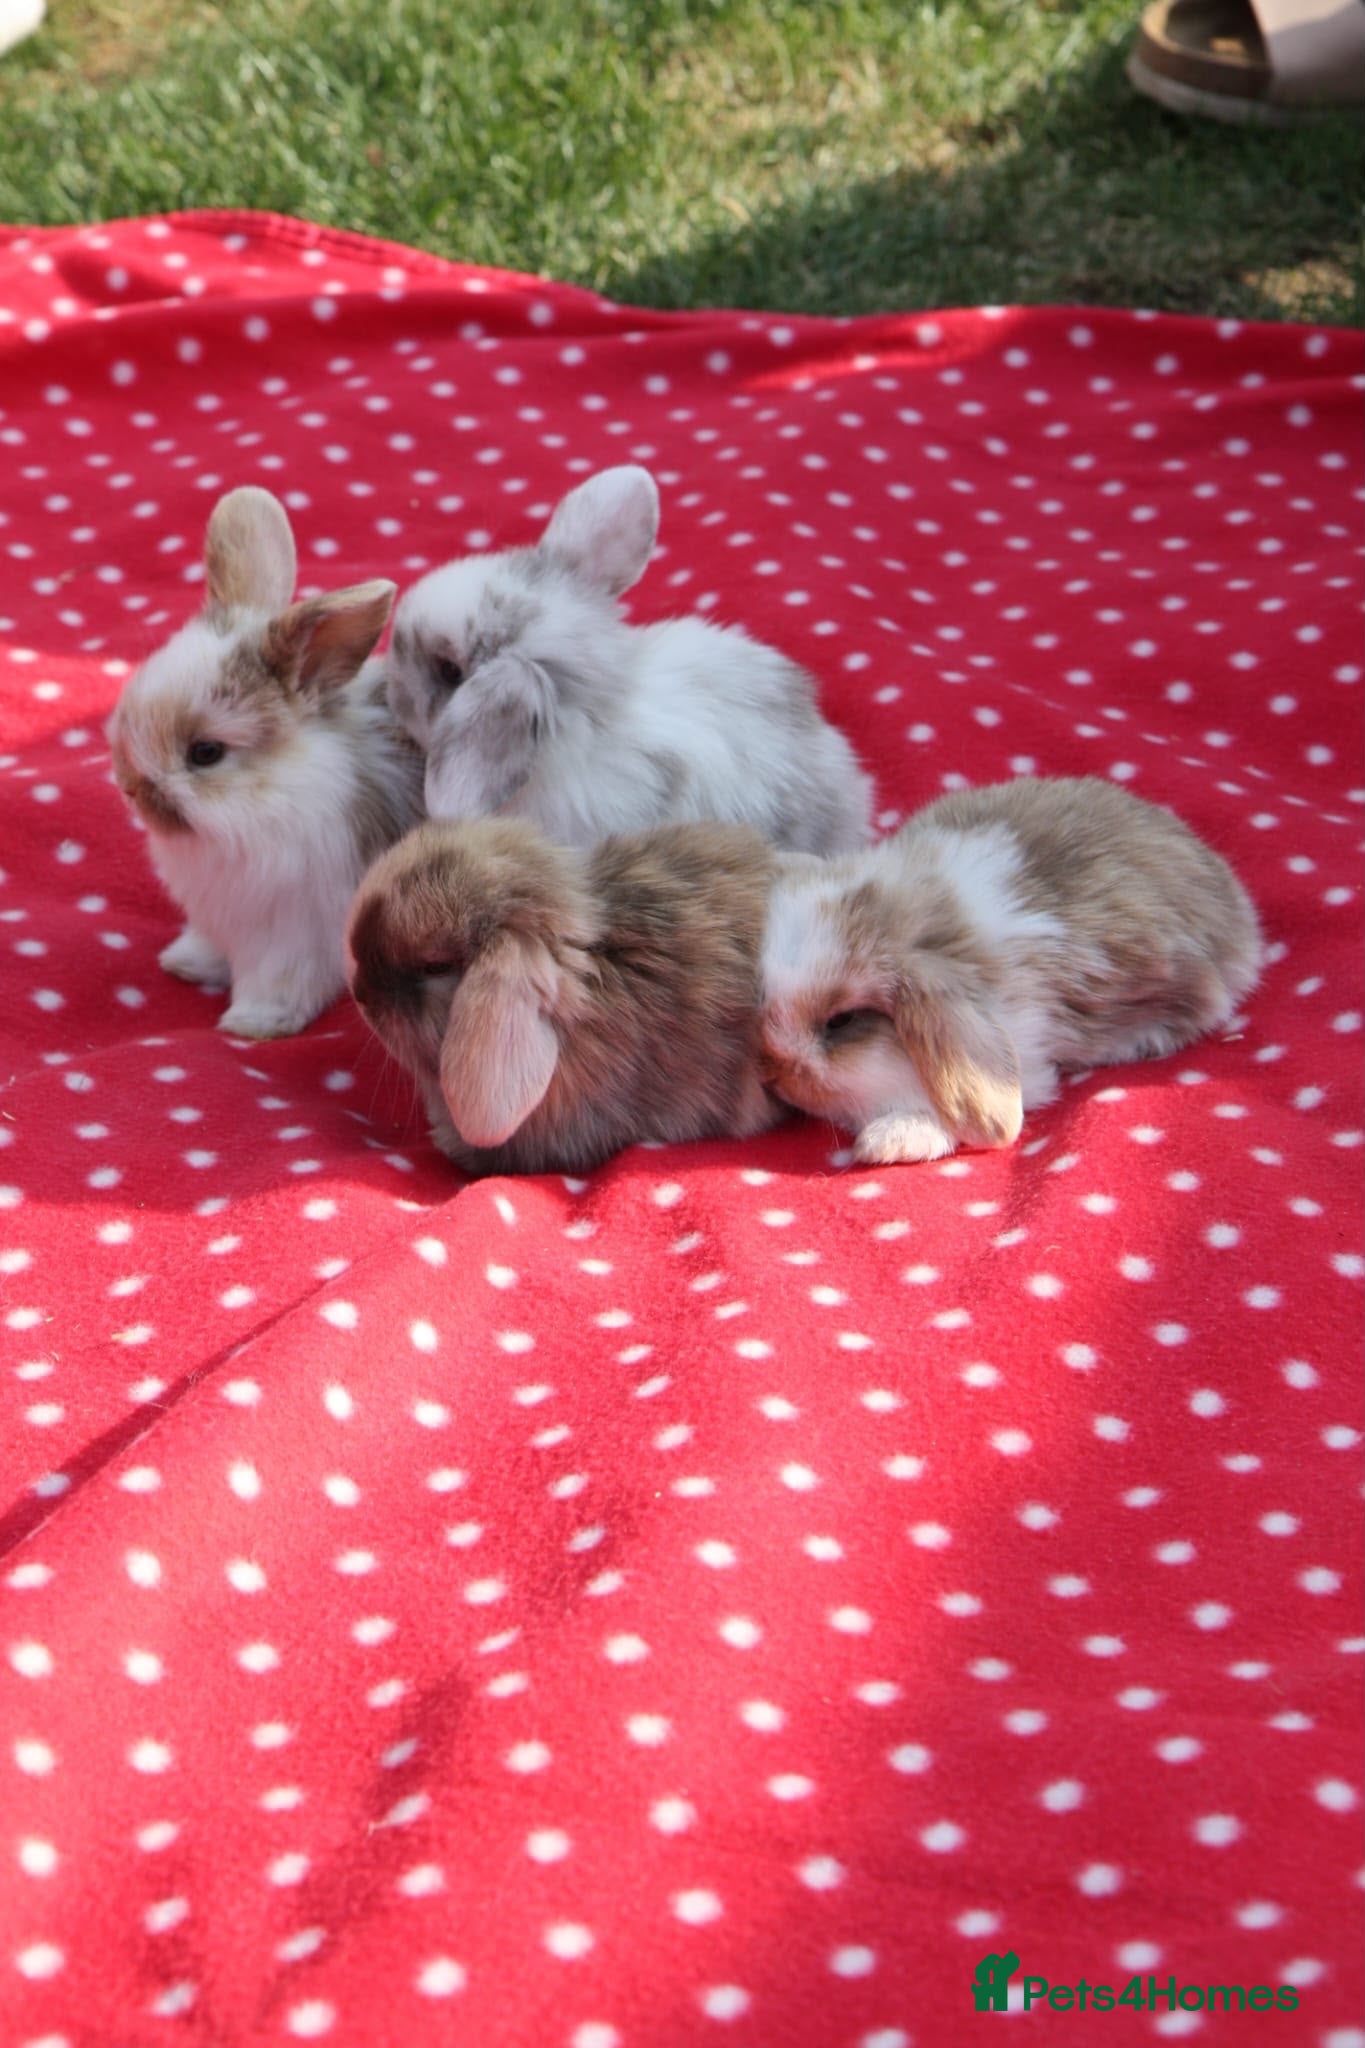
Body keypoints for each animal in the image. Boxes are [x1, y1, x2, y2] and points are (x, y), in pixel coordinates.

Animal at [105, 486, 424, 1039]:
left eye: (205, 753)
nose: (130, 788)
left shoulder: (295, 933)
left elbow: (279, 983)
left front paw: (252, 1023)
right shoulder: (220, 916)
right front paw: (186, 963)